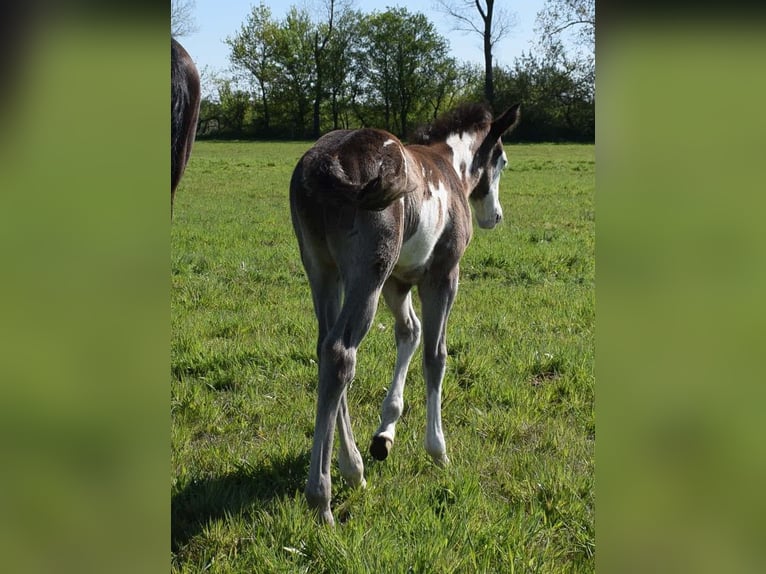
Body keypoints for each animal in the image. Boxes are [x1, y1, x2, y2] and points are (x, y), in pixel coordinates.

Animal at [290, 102, 521, 525]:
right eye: (503, 161)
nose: (494, 216)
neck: (450, 168)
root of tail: (326, 161)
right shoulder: (443, 275)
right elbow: (435, 354)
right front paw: (438, 449)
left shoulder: (397, 281)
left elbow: (408, 332)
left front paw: (385, 433)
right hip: (368, 273)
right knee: (341, 353)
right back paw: (322, 498)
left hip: (323, 270)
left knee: (325, 348)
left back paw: (354, 469)